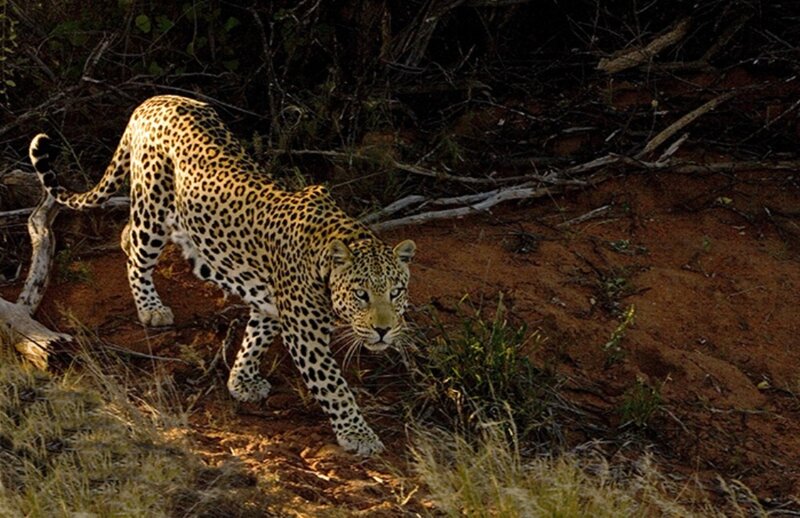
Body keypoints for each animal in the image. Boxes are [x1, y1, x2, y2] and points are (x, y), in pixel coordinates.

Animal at [28, 94, 416, 456]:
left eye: (396, 292)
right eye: (361, 294)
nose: (383, 331)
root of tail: (154, 100)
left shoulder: (270, 304)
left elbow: (255, 338)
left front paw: (241, 381)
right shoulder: (304, 334)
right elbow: (334, 387)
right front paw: (358, 435)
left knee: (126, 235)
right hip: (152, 210)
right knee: (136, 252)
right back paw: (151, 308)